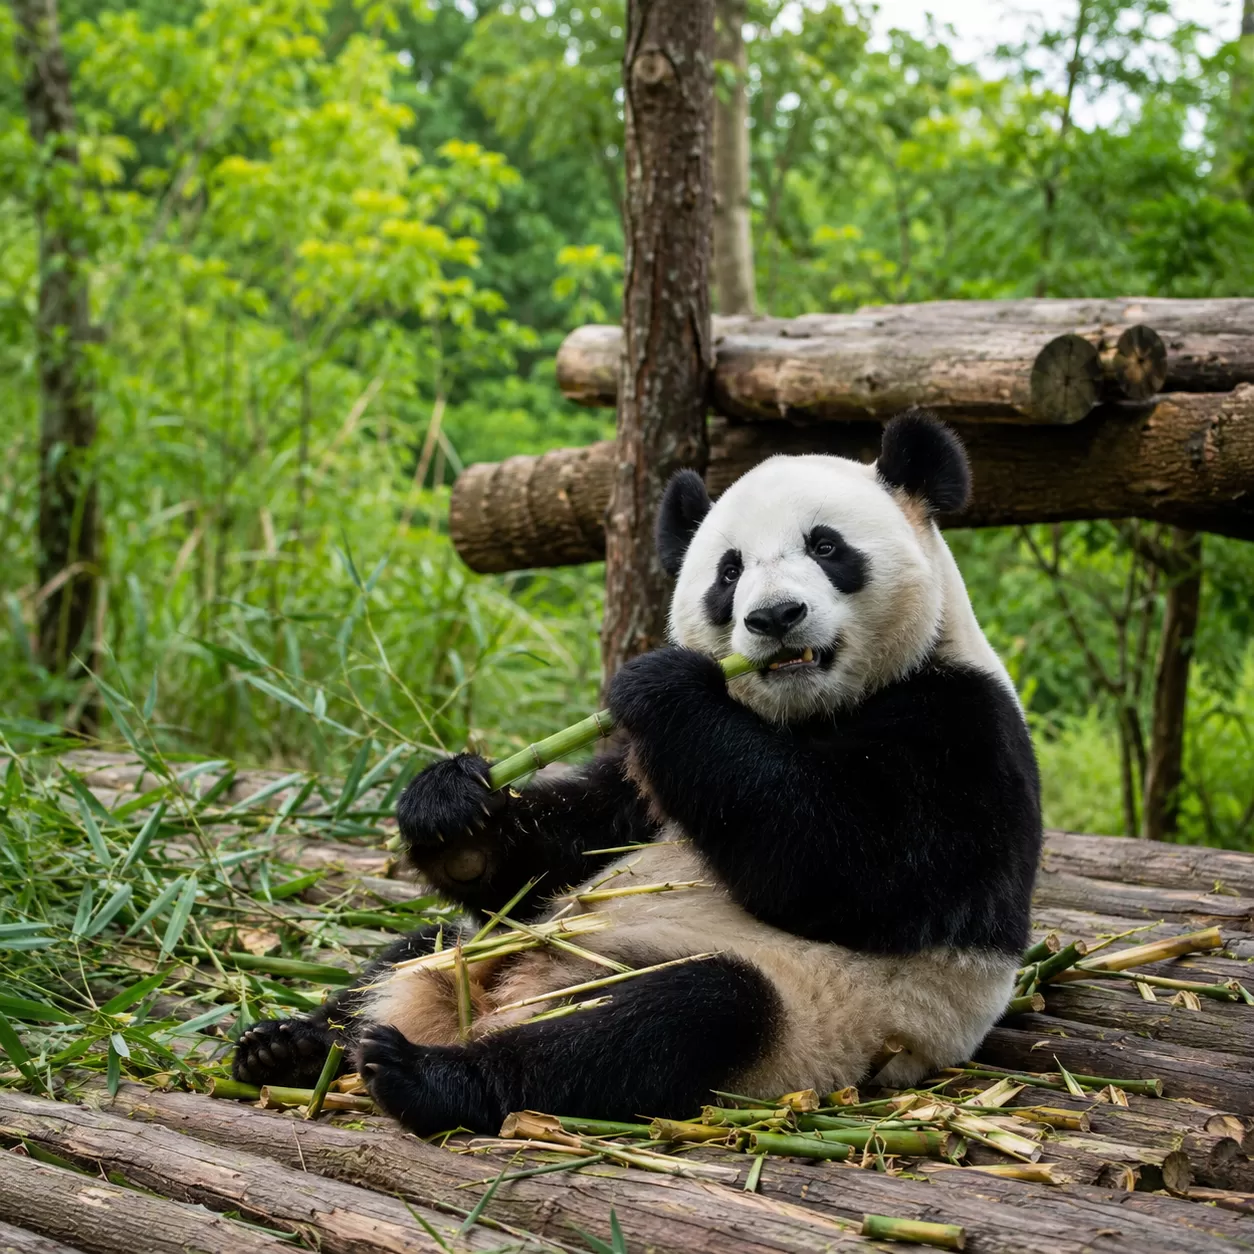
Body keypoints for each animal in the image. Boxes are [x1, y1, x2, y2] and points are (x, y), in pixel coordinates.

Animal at [233, 410, 1042, 1135]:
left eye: (826, 545)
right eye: (728, 571)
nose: (774, 618)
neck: (801, 716)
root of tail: (495, 1004)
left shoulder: (964, 729)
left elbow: (856, 871)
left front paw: (662, 683)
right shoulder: (642, 781)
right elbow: (565, 849)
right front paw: (450, 808)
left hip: (798, 1018)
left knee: (665, 1024)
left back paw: (422, 1075)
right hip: (492, 945)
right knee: (420, 948)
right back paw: (294, 1044)